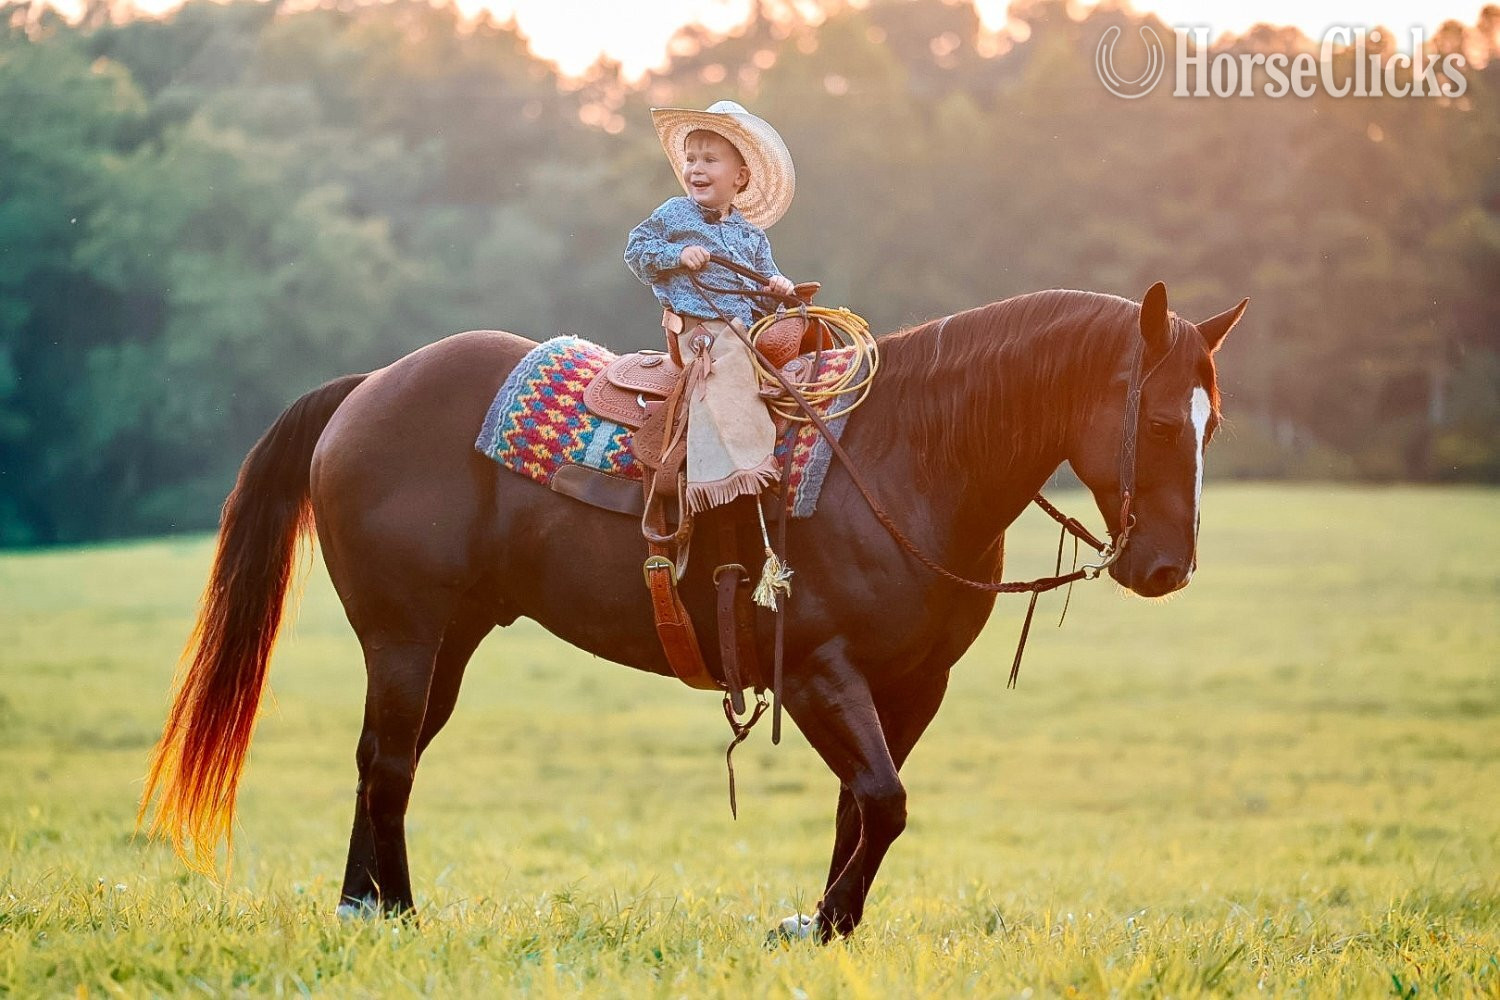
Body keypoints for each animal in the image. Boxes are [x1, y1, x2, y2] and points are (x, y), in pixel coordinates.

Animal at [139, 281, 1245, 940]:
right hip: (404, 634)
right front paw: (818, 925)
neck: (909, 456)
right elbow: (884, 800)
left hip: (448, 641)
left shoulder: (912, 685)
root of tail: (371, 386)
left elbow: (863, 805)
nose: (1169, 568)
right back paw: (397, 912)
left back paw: (359, 904)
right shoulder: (818, 672)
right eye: (1156, 420)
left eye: (1212, 423)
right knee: (391, 763)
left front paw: (827, 927)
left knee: (384, 756)